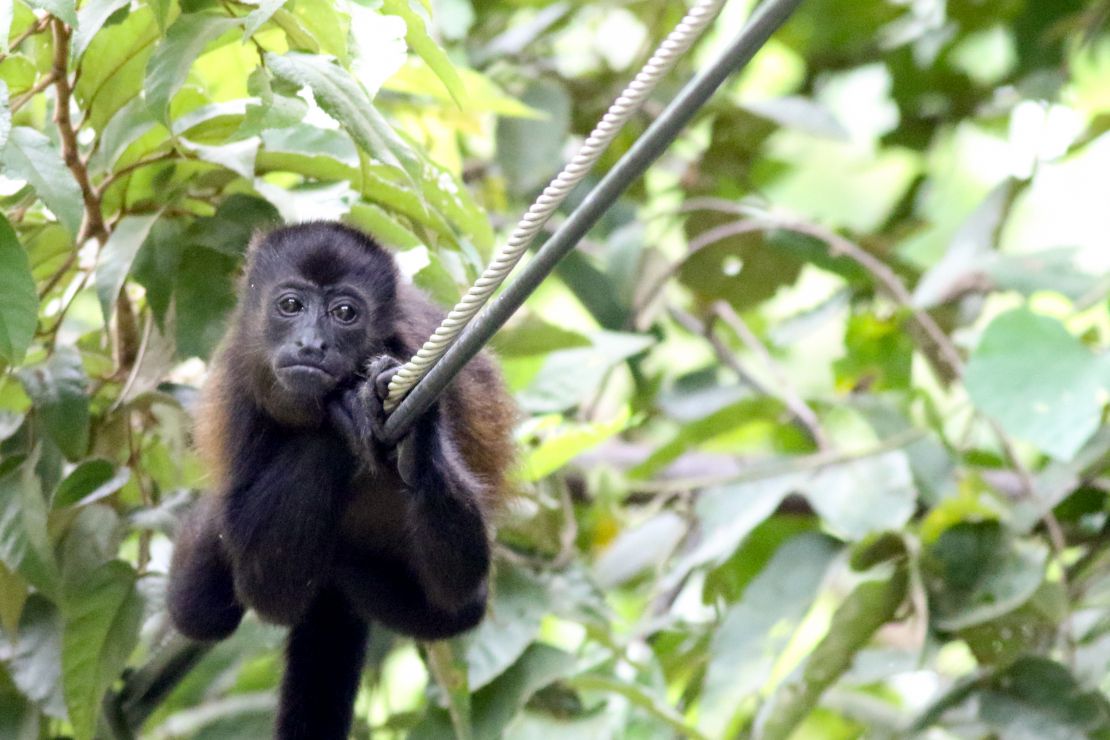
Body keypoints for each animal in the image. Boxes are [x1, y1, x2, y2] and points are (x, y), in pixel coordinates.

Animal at [165, 222, 516, 740]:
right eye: (291, 305)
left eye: (345, 313)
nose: (312, 344)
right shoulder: (239, 385)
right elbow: (267, 587)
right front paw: (342, 410)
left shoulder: (412, 350)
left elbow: (459, 580)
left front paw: (416, 438)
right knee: (199, 609)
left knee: (460, 604)